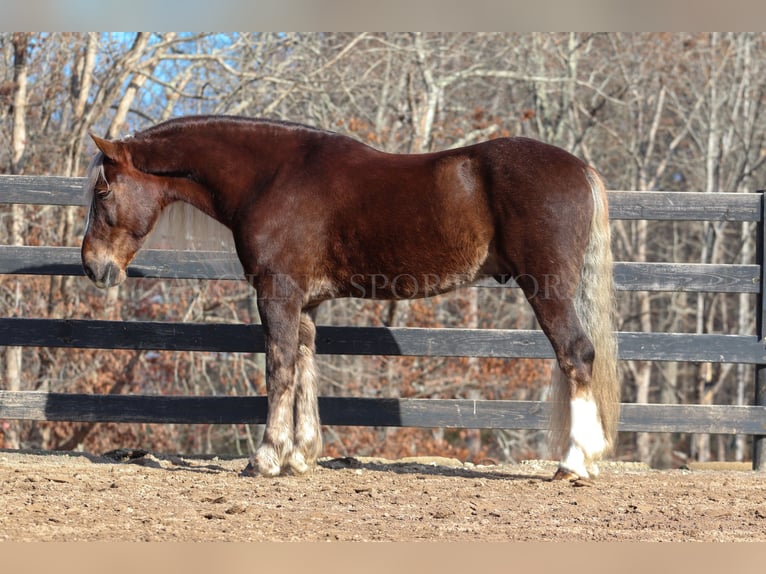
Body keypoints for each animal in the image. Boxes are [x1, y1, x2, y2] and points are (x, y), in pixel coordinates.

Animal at [79, 113, 616, 482]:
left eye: (102, 192)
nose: (92, 266)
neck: (272, 177)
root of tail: (581, 168)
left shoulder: (277, 294)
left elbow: (279, 368)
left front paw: (266, 458)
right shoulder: (306, 303)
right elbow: (305, 367)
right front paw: (300, 456)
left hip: (548, 289)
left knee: (576, 355)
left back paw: (574, 463)